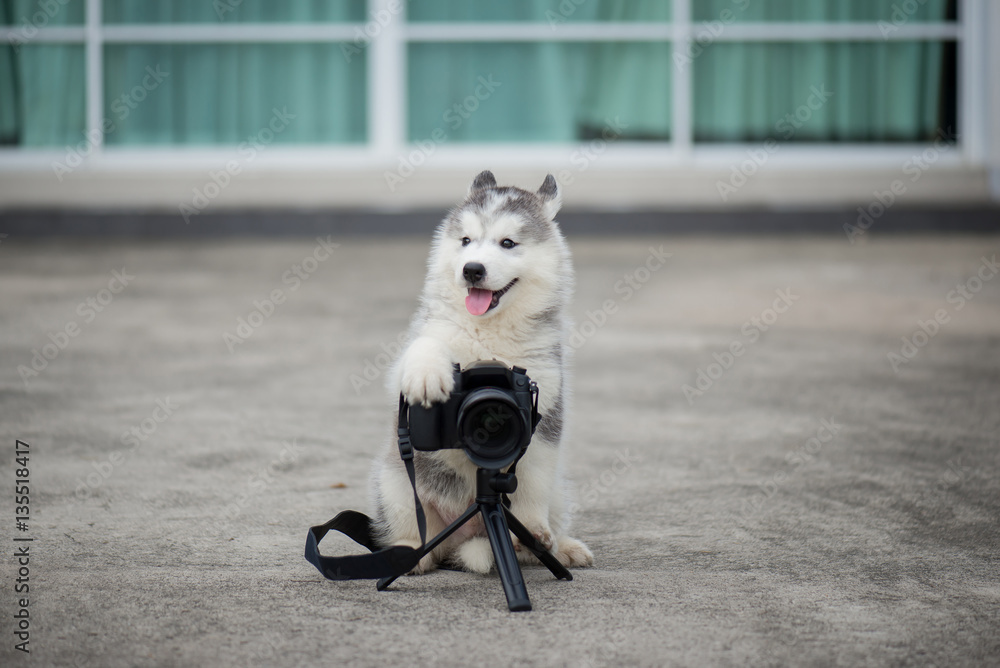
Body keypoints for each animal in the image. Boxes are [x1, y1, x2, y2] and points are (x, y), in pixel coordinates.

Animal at [374, 170, 592, 572]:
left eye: (508, 243)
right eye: (466, 241)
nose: (472, 269)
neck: (490, 332)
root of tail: (468, 532)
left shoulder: (544, 401)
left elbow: (532, 478)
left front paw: (533, 530)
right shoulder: (420, 345)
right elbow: (425, 347)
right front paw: (427, 375)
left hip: (558, 492)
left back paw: (559, 547)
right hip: (394, 483)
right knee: (415, 531)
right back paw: (408, 554)